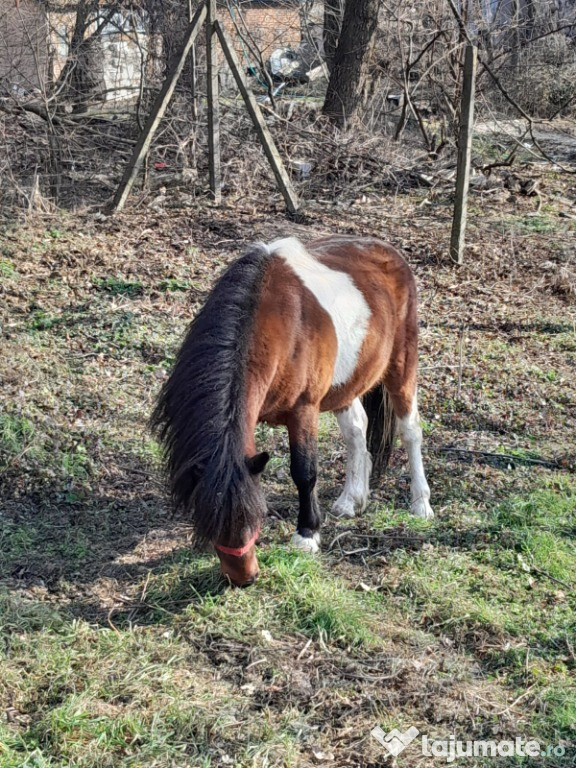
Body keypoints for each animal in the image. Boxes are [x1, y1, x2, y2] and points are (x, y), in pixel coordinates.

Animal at [152, 237, 432, 584]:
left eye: (254, 516)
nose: (244, 579)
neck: (280, 323)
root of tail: (390, 254)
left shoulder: (304, 411)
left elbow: (304, 472)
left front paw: (307, 534)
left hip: (401, 366)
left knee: (410, 431)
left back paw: (421, 503)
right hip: (345, 384)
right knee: (356, 430)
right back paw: (351, 499)